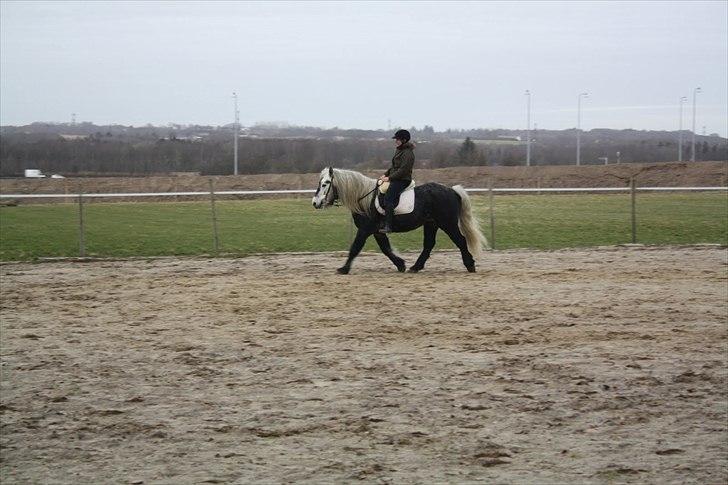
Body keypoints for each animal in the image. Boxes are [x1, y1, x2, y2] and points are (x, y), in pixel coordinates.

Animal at [311, 167, 488, 274]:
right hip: (431, 224)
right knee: (429, 245)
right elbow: (386, 249)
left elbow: (355, 248)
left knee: (461, 240)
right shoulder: (377, 231)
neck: (365, 199)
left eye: (325, 183)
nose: (315, 202)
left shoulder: (365, 230)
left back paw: (470, 265)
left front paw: (344, 268)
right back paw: (415, 267)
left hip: (448, 223)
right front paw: (400, 264)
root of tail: (452, 190)